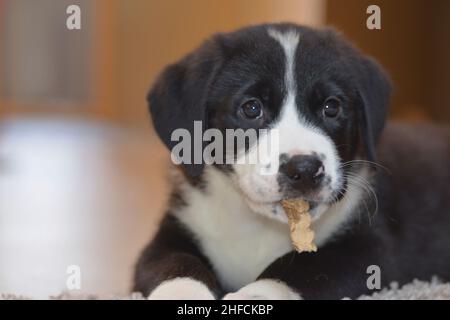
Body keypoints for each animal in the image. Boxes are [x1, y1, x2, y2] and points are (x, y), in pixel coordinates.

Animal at [134, 23, 450, 300]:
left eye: (331, 107)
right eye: (251, 108)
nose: (305, 170)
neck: (261, 226)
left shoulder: (370, 247)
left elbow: (299, 267)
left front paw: (254, 295)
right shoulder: (174, 230)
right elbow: (175, 265)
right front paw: (183, 294)